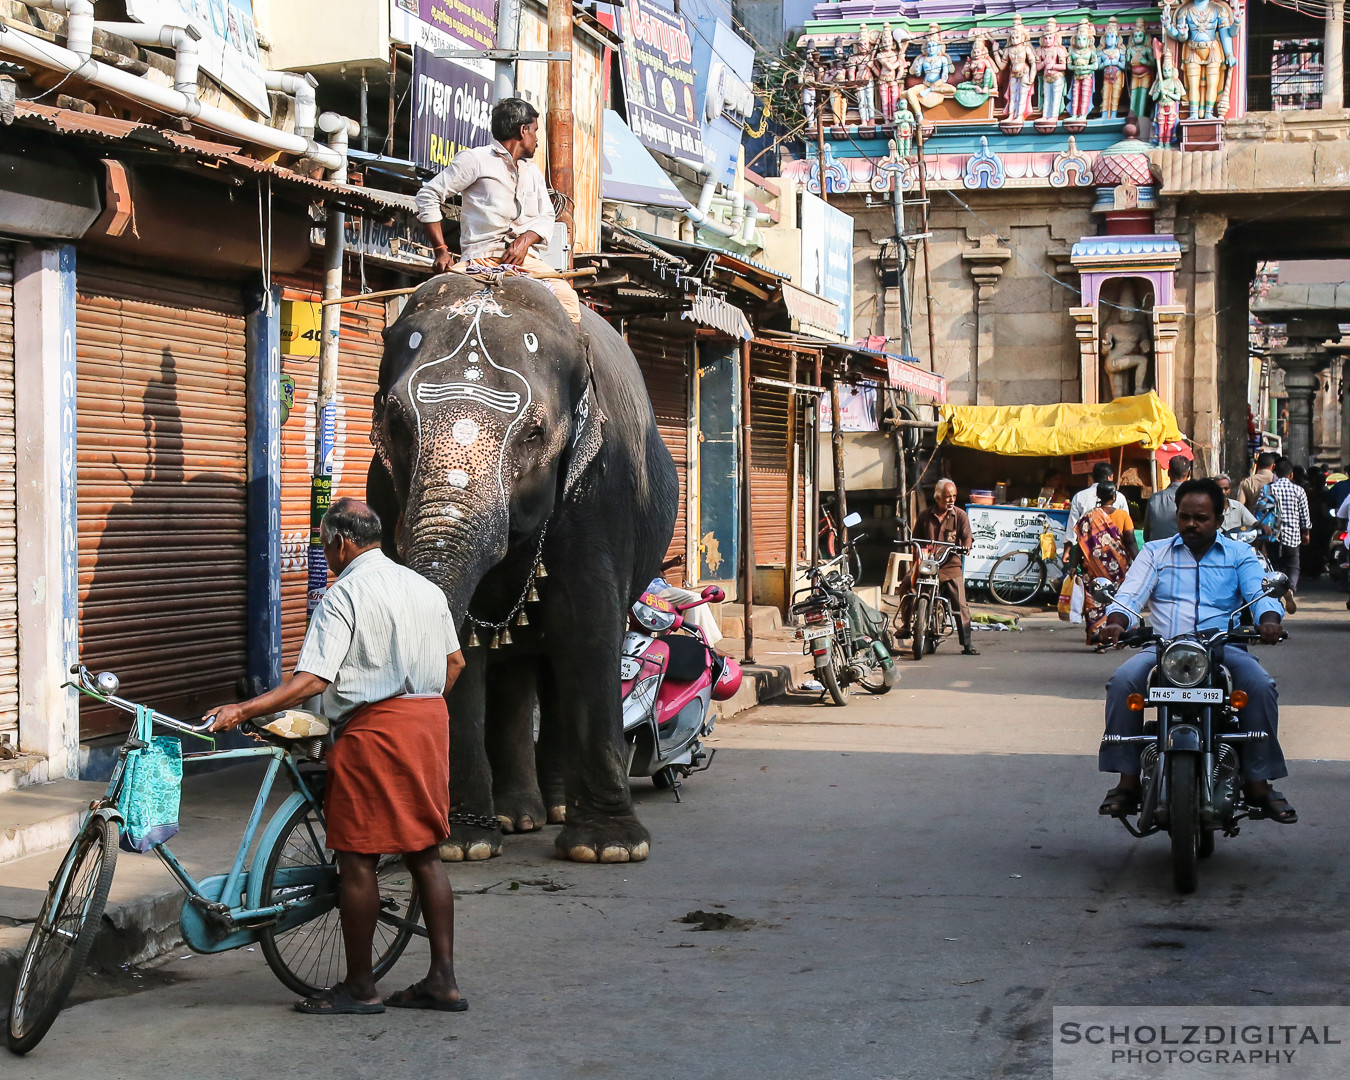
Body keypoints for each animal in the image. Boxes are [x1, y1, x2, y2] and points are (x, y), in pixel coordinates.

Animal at [367, 274, 675, 864]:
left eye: (534, 434)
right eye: (395, 423)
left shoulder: (600, 489)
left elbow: (588, 624)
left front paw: (609, 849)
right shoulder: (388, 494)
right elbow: (464, 640)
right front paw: (461, 845)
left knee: (553, 658)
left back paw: (553, 813)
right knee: (514, 666)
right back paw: (517, 816)